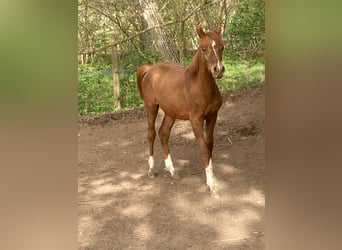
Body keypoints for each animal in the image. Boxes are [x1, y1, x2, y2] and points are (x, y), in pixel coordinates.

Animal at [138, 24, 226, 197]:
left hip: (170, 112)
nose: (218, 70)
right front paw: (211, 187)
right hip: (151, 107)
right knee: (151, 134)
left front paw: (211, 181)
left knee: (163, 133)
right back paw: (151, 170)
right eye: (203, 48)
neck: (198, 86)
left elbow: (209, 145)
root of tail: (150, 69)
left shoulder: (213, 116)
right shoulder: (195, 120)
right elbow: (203, 149)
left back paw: (172, 170)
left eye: (222, 47)